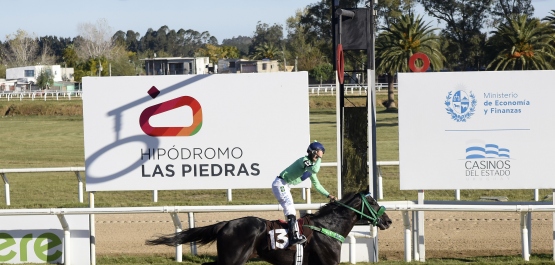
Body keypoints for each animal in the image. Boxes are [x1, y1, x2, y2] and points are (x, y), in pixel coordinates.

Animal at [146, 188, 394, 264]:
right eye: (373, 202)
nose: (389, 221)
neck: (328, 227)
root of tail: (226, 224)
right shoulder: (328, 263)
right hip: (233, 259)